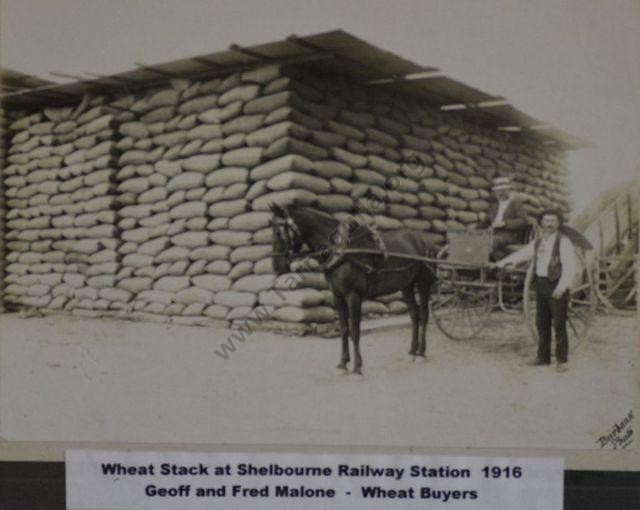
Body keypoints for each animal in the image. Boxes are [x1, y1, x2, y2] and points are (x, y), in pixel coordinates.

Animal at [268, 203, 438, 374]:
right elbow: (344, 329)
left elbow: (355, 331)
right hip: (406, 286)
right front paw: (343, 363)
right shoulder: (337, 296)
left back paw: (421, 353)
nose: (276, 266)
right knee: (414, 315)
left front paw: (357, 368)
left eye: (278, 232)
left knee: (424, 314)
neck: (341, 251)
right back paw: (412, 351)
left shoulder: (353, 296)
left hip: (423, 282)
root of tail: (425, 240)